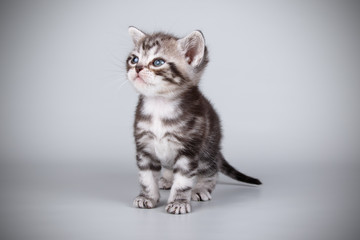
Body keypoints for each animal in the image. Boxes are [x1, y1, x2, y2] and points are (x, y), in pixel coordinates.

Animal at [126, 26, 262, 214]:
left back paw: (201, 188)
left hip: (208, 147)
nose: (137, 68)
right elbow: (146, 177)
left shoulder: (188, 149)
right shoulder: (144, 147)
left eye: (158, 62)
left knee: (211, 169)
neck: (159, 105)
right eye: (134, 59)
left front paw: (178, 202)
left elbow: (183, 180)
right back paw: (167, 179)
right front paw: (147, 197)